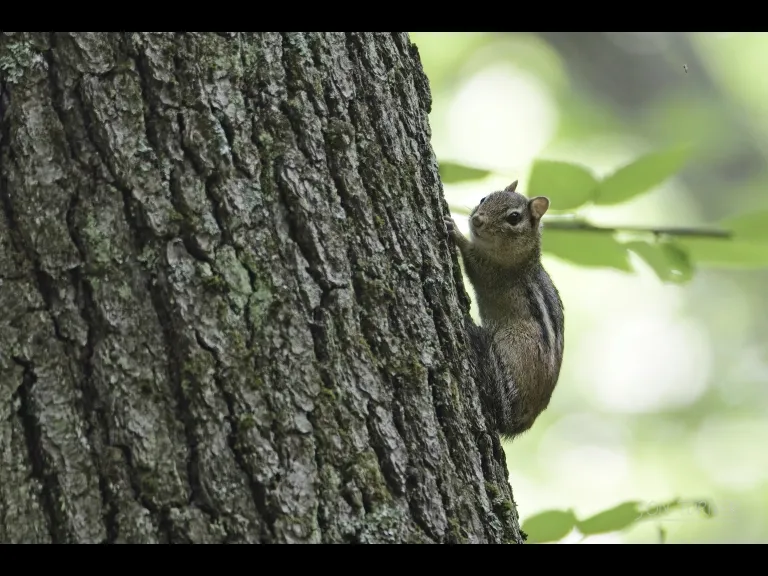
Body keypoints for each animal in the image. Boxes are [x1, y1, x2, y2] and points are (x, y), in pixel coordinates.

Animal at [444, 180, 564, 439]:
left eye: (514, 218)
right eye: (484, 198)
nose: (477, 220)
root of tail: (519, 423)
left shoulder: (491, 270)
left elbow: (472, 259)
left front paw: (456, 232)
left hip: (512, 342)